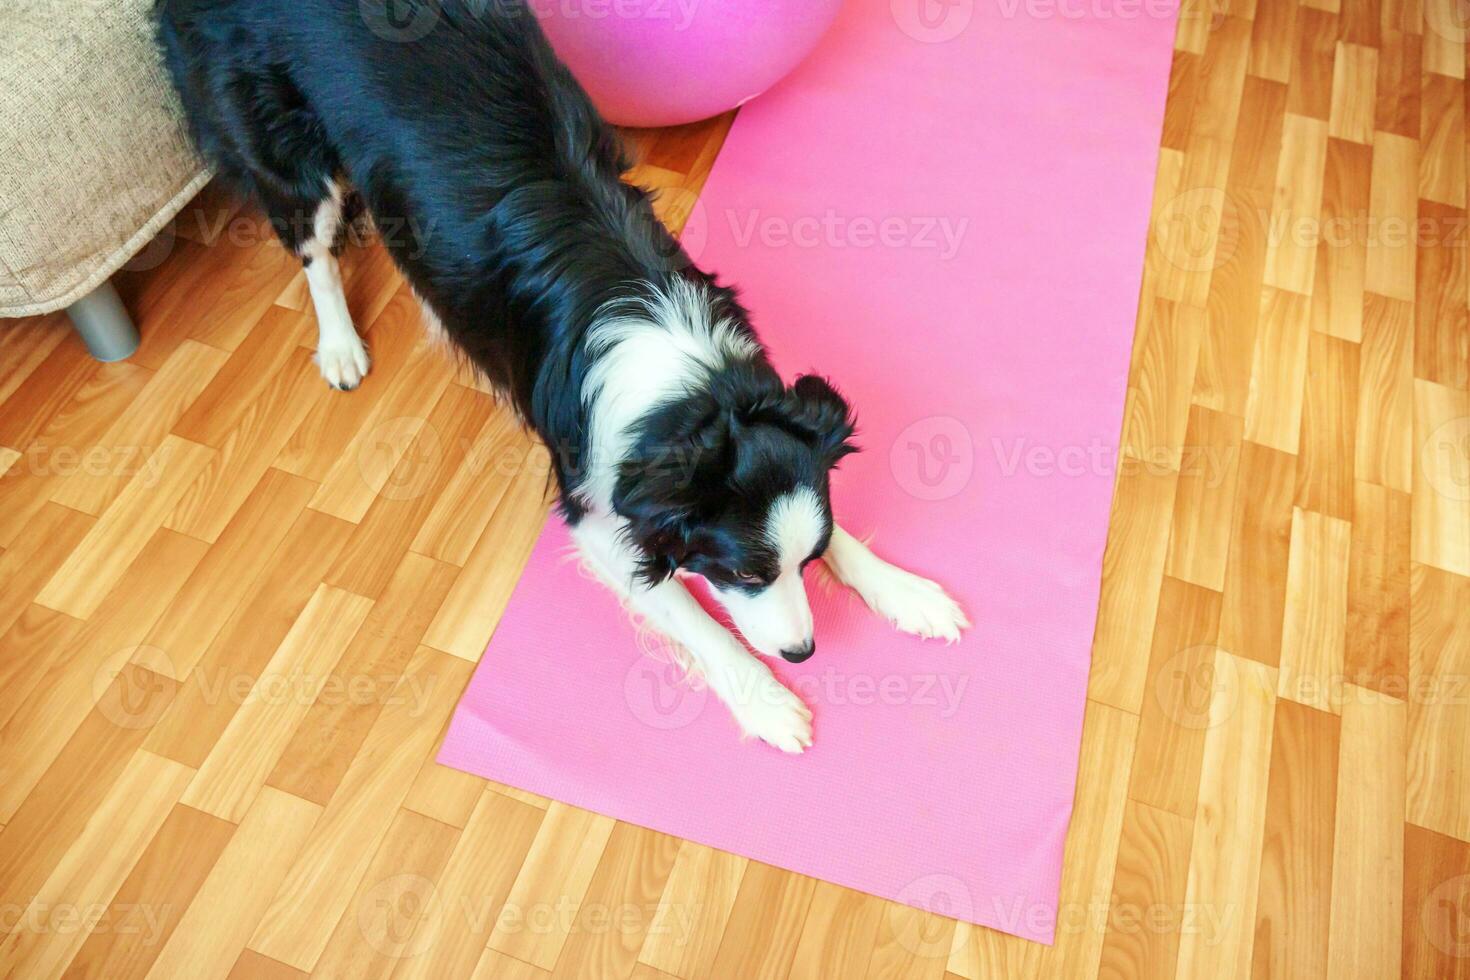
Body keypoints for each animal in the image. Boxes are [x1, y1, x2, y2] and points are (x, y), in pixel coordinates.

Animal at [160, 0, 964, 752]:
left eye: (808, 560)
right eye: (743, 577)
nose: (803, 652)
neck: (689, 392)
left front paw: (906, 592)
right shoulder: (596, 501)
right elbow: (692, 618)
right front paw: (766, 701)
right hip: (275, 131)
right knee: (309, 240)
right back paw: (340, 347)